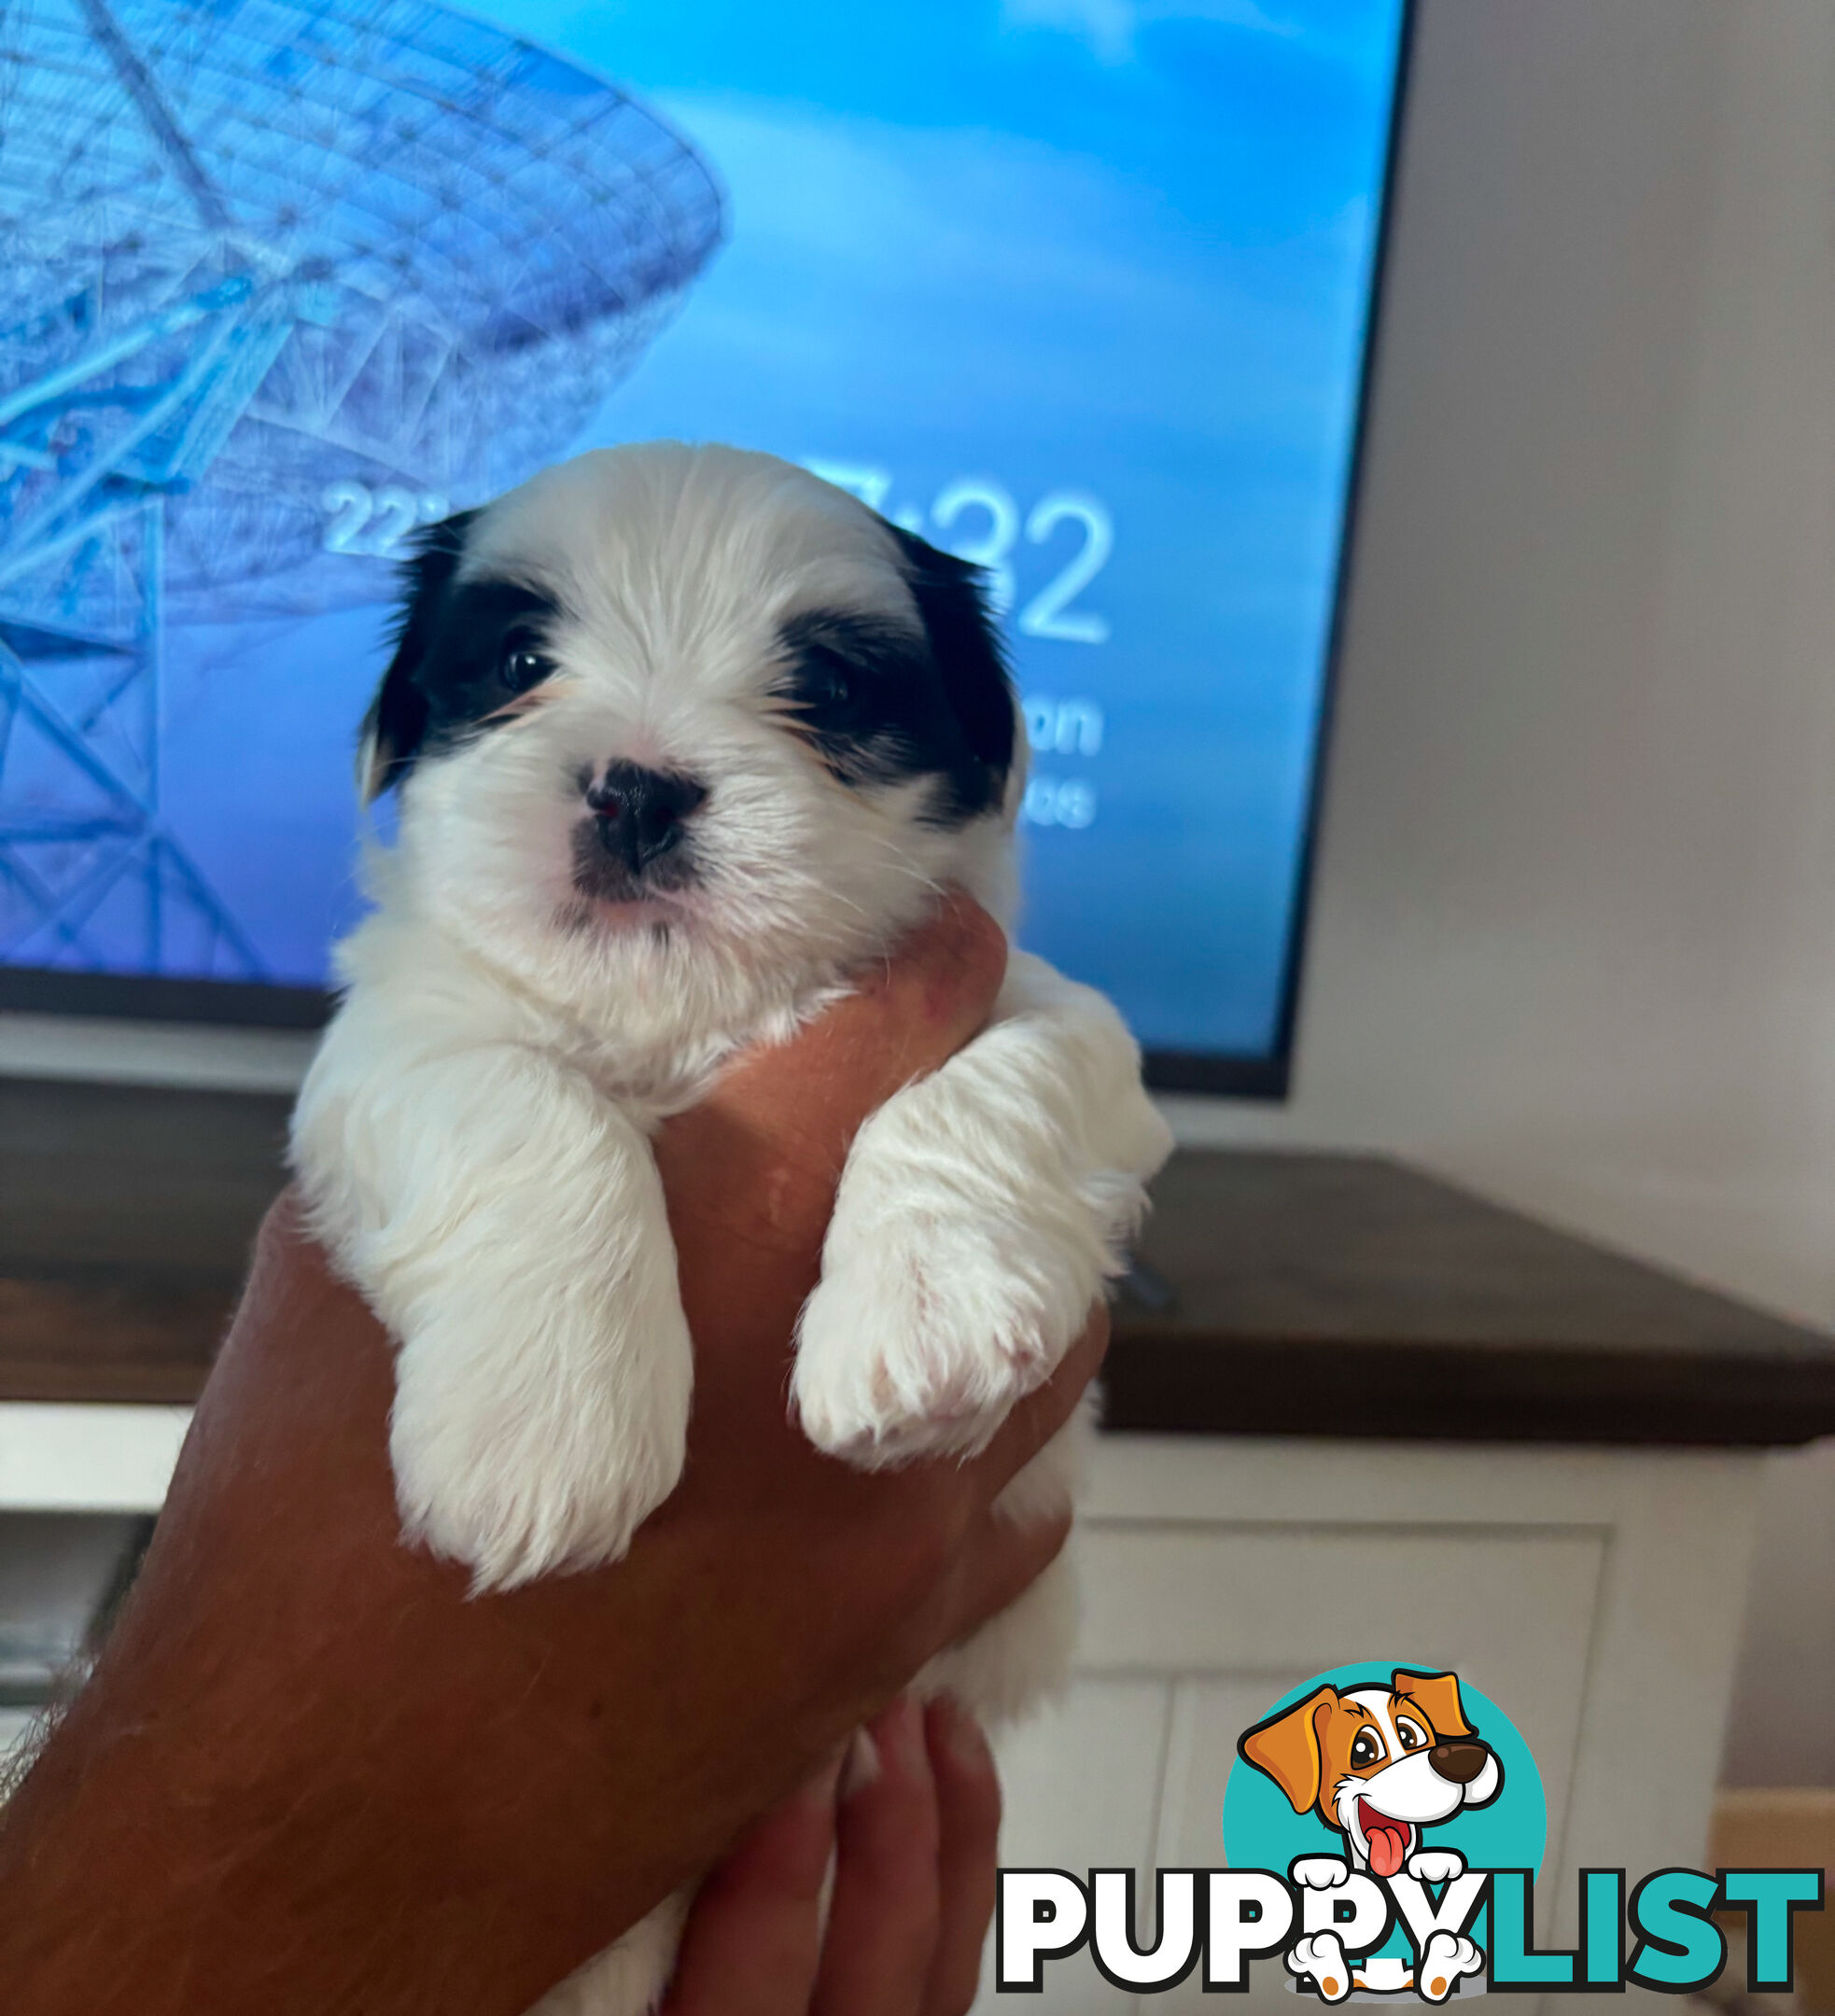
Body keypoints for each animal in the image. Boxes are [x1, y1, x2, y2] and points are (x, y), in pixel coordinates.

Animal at [286, 445, 1177, 2016]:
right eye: (516, 664)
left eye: (822, 687)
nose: (635, 788)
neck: (683, 1019)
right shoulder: (394, 1038)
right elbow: (523, 1105)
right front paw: (543, 1433)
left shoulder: (1055, 1018)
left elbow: (1003, 1077)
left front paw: (924, 1319)